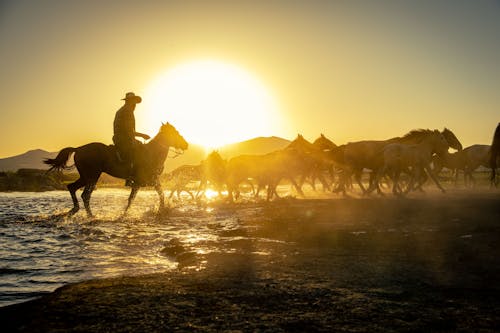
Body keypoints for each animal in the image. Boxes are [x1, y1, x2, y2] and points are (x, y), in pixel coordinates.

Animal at [42, 123, 188, 217]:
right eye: (176, 133)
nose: (186, 145)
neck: (151, 153)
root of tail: (78, 149)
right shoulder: (142, 182)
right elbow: (136, 198)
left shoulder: (150, 181)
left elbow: (158, 194)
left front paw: (162, 209)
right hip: (92, 176)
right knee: (85, 195)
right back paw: (90, 216)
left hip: (85, 176)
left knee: (72, 187)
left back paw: (74, 210)